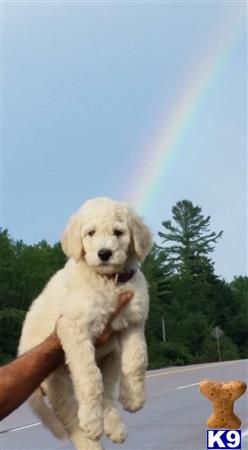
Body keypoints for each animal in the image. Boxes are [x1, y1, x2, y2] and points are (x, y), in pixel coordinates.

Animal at [18, 198, 151, 450]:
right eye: (90, 233)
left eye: (118, 232)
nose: (104, 253)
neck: (107, 281)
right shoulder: (75, 329)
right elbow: (90, 379)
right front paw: (91, 422)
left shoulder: (133, 323)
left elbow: (136, 361)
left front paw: (134, 399)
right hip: (58, 382)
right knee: (71, 417)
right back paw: (91, 438)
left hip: (110, 357)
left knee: (107, 393)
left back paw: (114, 427)